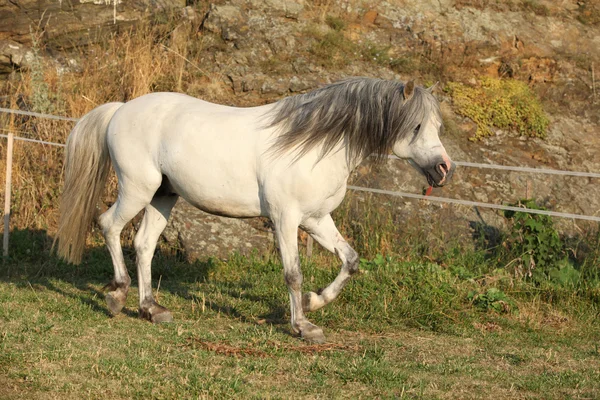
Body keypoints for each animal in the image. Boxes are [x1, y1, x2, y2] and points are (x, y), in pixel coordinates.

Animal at [58, 79, 458, 344]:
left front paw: (314, 302)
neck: (312, 145)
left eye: (438, 126)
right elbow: (293, 274)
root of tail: (121, 109)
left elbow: (350, 260)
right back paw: (117, 296)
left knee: (143, 245)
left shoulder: (316, 220)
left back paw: (151, 310)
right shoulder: (285, 219)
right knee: (108, 225)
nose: (444, 169)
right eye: (416, 126)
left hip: (163, 195)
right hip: (137, 188)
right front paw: (303, 326)